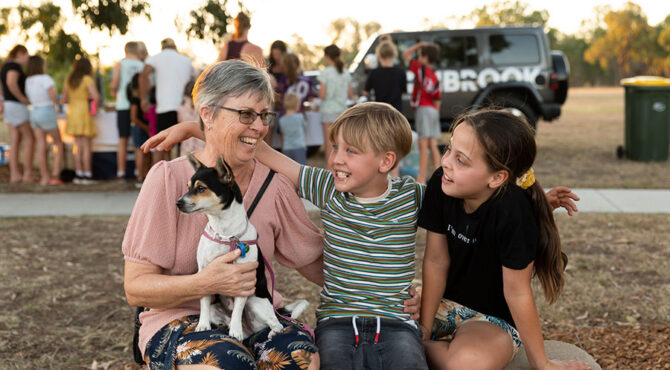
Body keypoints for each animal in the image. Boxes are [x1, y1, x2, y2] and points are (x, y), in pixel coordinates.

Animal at [175, 155, 308, 340]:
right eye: (188, 187)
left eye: (201, 188)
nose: (178, 203)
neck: (225, 234)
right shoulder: (204, 273)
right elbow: (203, 302)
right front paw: (203, 324)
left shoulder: (243, 281)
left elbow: (237, 310)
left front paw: (235, 331)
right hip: (218, 308)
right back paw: (226, 325)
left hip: (255, 302)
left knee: (276, 323)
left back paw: (268, 332)